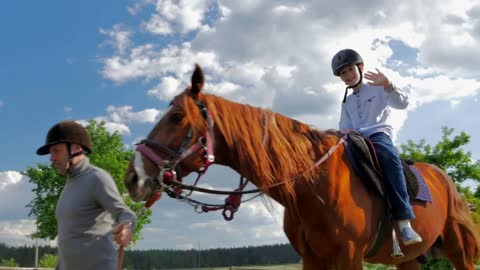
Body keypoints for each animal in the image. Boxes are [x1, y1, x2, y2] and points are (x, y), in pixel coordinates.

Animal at [124, 64, 480, 268]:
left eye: (176, 117)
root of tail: (445, 181)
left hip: (459, 250)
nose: (132, 177)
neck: (314, 186)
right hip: (408, 260)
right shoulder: (311, 258)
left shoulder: (348, 257)